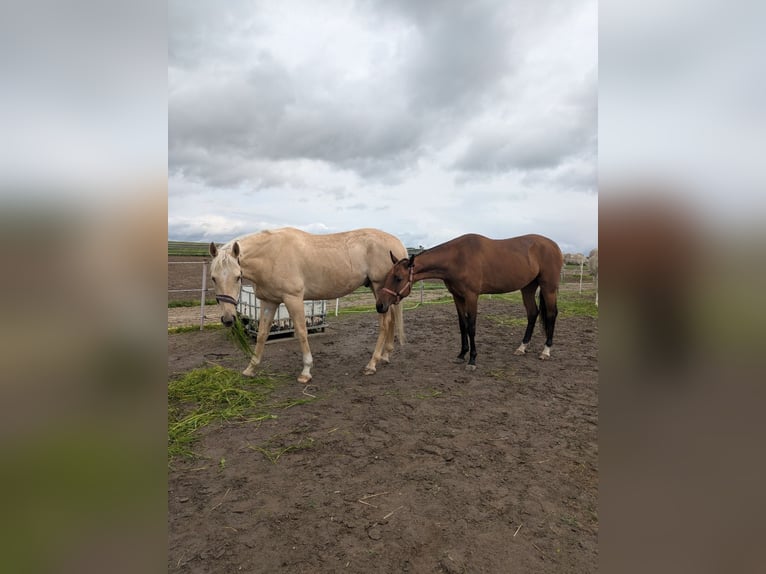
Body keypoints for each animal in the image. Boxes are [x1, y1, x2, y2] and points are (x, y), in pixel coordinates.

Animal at [209, 227, 408, 383]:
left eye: (237, 277)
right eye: (213, 278)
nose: (228, 319)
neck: (272, 254)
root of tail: (397, 243)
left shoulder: (293, 298)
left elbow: (302, 332)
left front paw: (306, 371)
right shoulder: (269, 302)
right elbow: (262, 335)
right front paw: (250, 368)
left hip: (378, 288)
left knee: (384, 323)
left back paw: (372, 364)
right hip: (383, 295)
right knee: (391, 321)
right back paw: (385, 356)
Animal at [375, 233, 563, 370]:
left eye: (398, 278)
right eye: (388, 276)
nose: (380, 305)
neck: (457, 258)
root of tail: (554, 246)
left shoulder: (472, 296)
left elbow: (471, 326)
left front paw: (472, 359)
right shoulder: (458, 297)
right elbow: (463, 325)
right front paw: (461, 355)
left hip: (548, 288)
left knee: (552, 314)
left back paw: (546, 350)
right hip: (528, 288)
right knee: (532, 313)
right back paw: (522, 347)